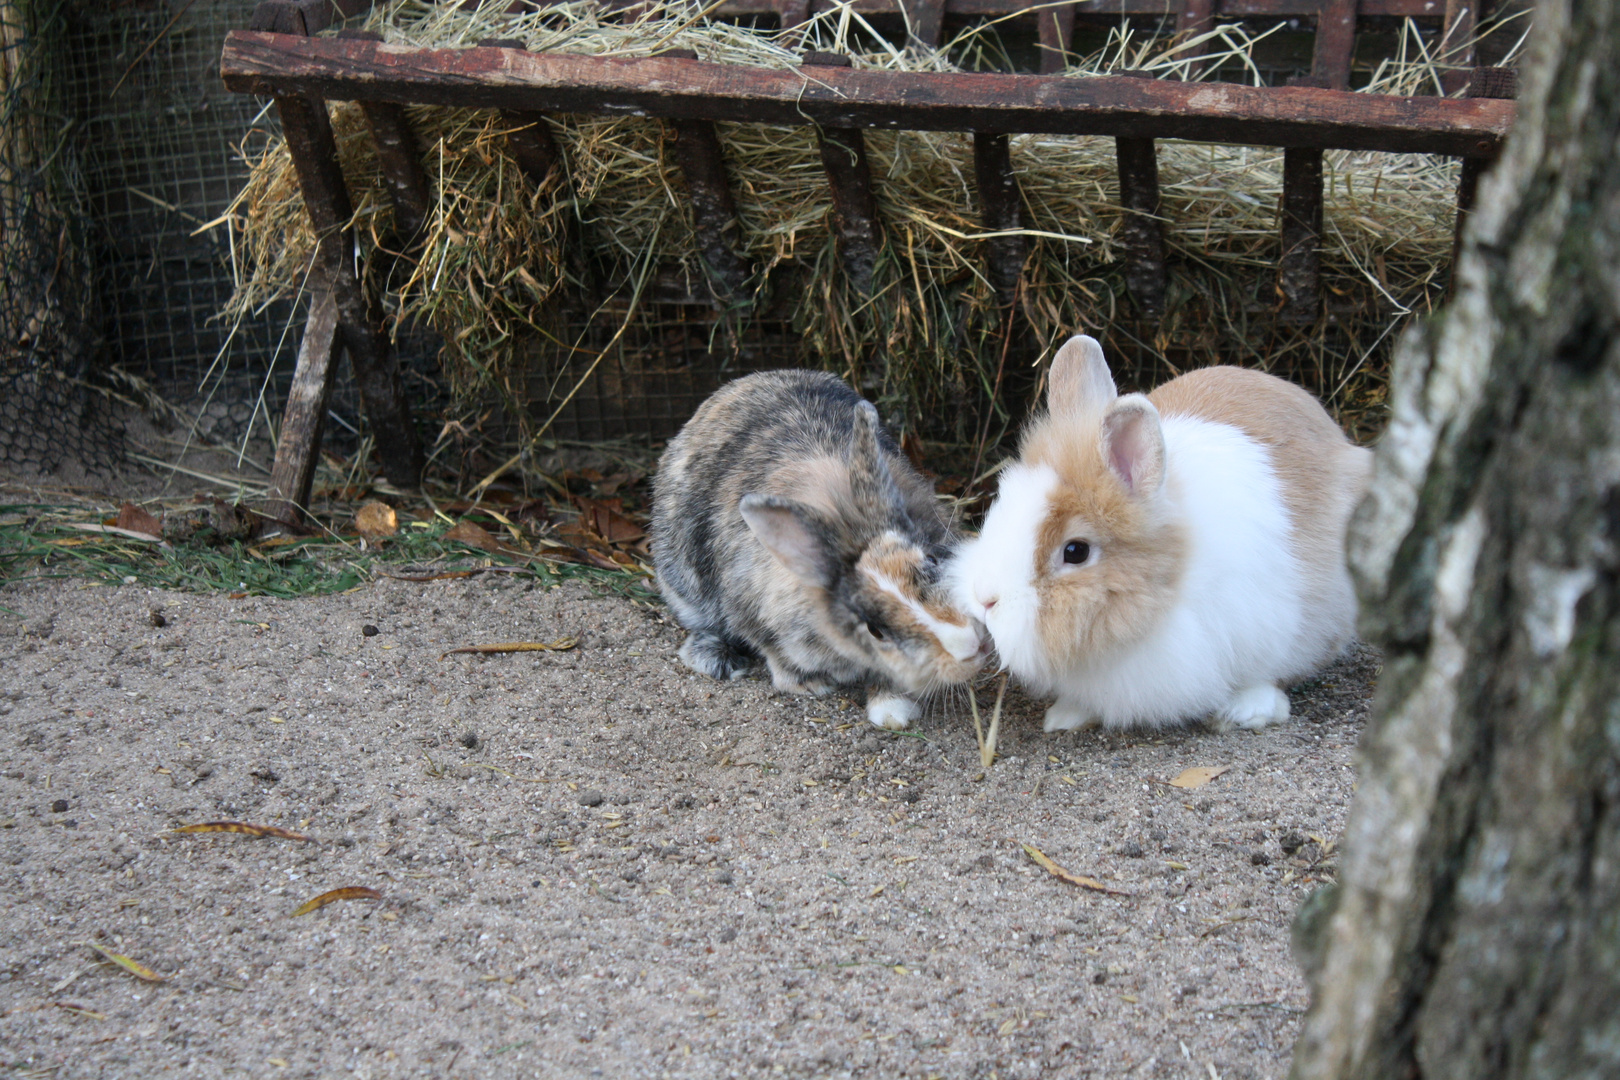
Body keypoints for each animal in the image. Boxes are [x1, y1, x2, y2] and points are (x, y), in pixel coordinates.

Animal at [648, 367, 978, 731]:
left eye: (931, 559)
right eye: (874, 630)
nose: (967, 647)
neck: (847, 525)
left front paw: (893, 709)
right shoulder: (752, 614)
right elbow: (775, 652)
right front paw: (808, 684)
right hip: (683, 587)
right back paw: (717, 659)